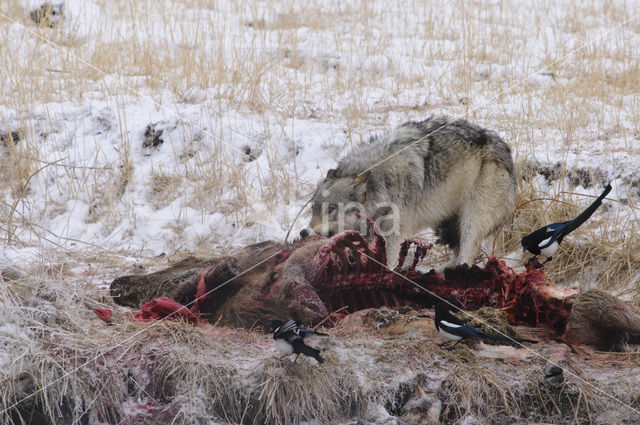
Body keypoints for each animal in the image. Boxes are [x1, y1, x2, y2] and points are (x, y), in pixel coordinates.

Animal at [302, 115, 516, 268]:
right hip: (443, 223)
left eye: (331, 209)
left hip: (471, 220)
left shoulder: (395, 235)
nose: (304, 232)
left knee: (467, 254)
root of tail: (507, 153)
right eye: (313, 209)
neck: (380, 182)